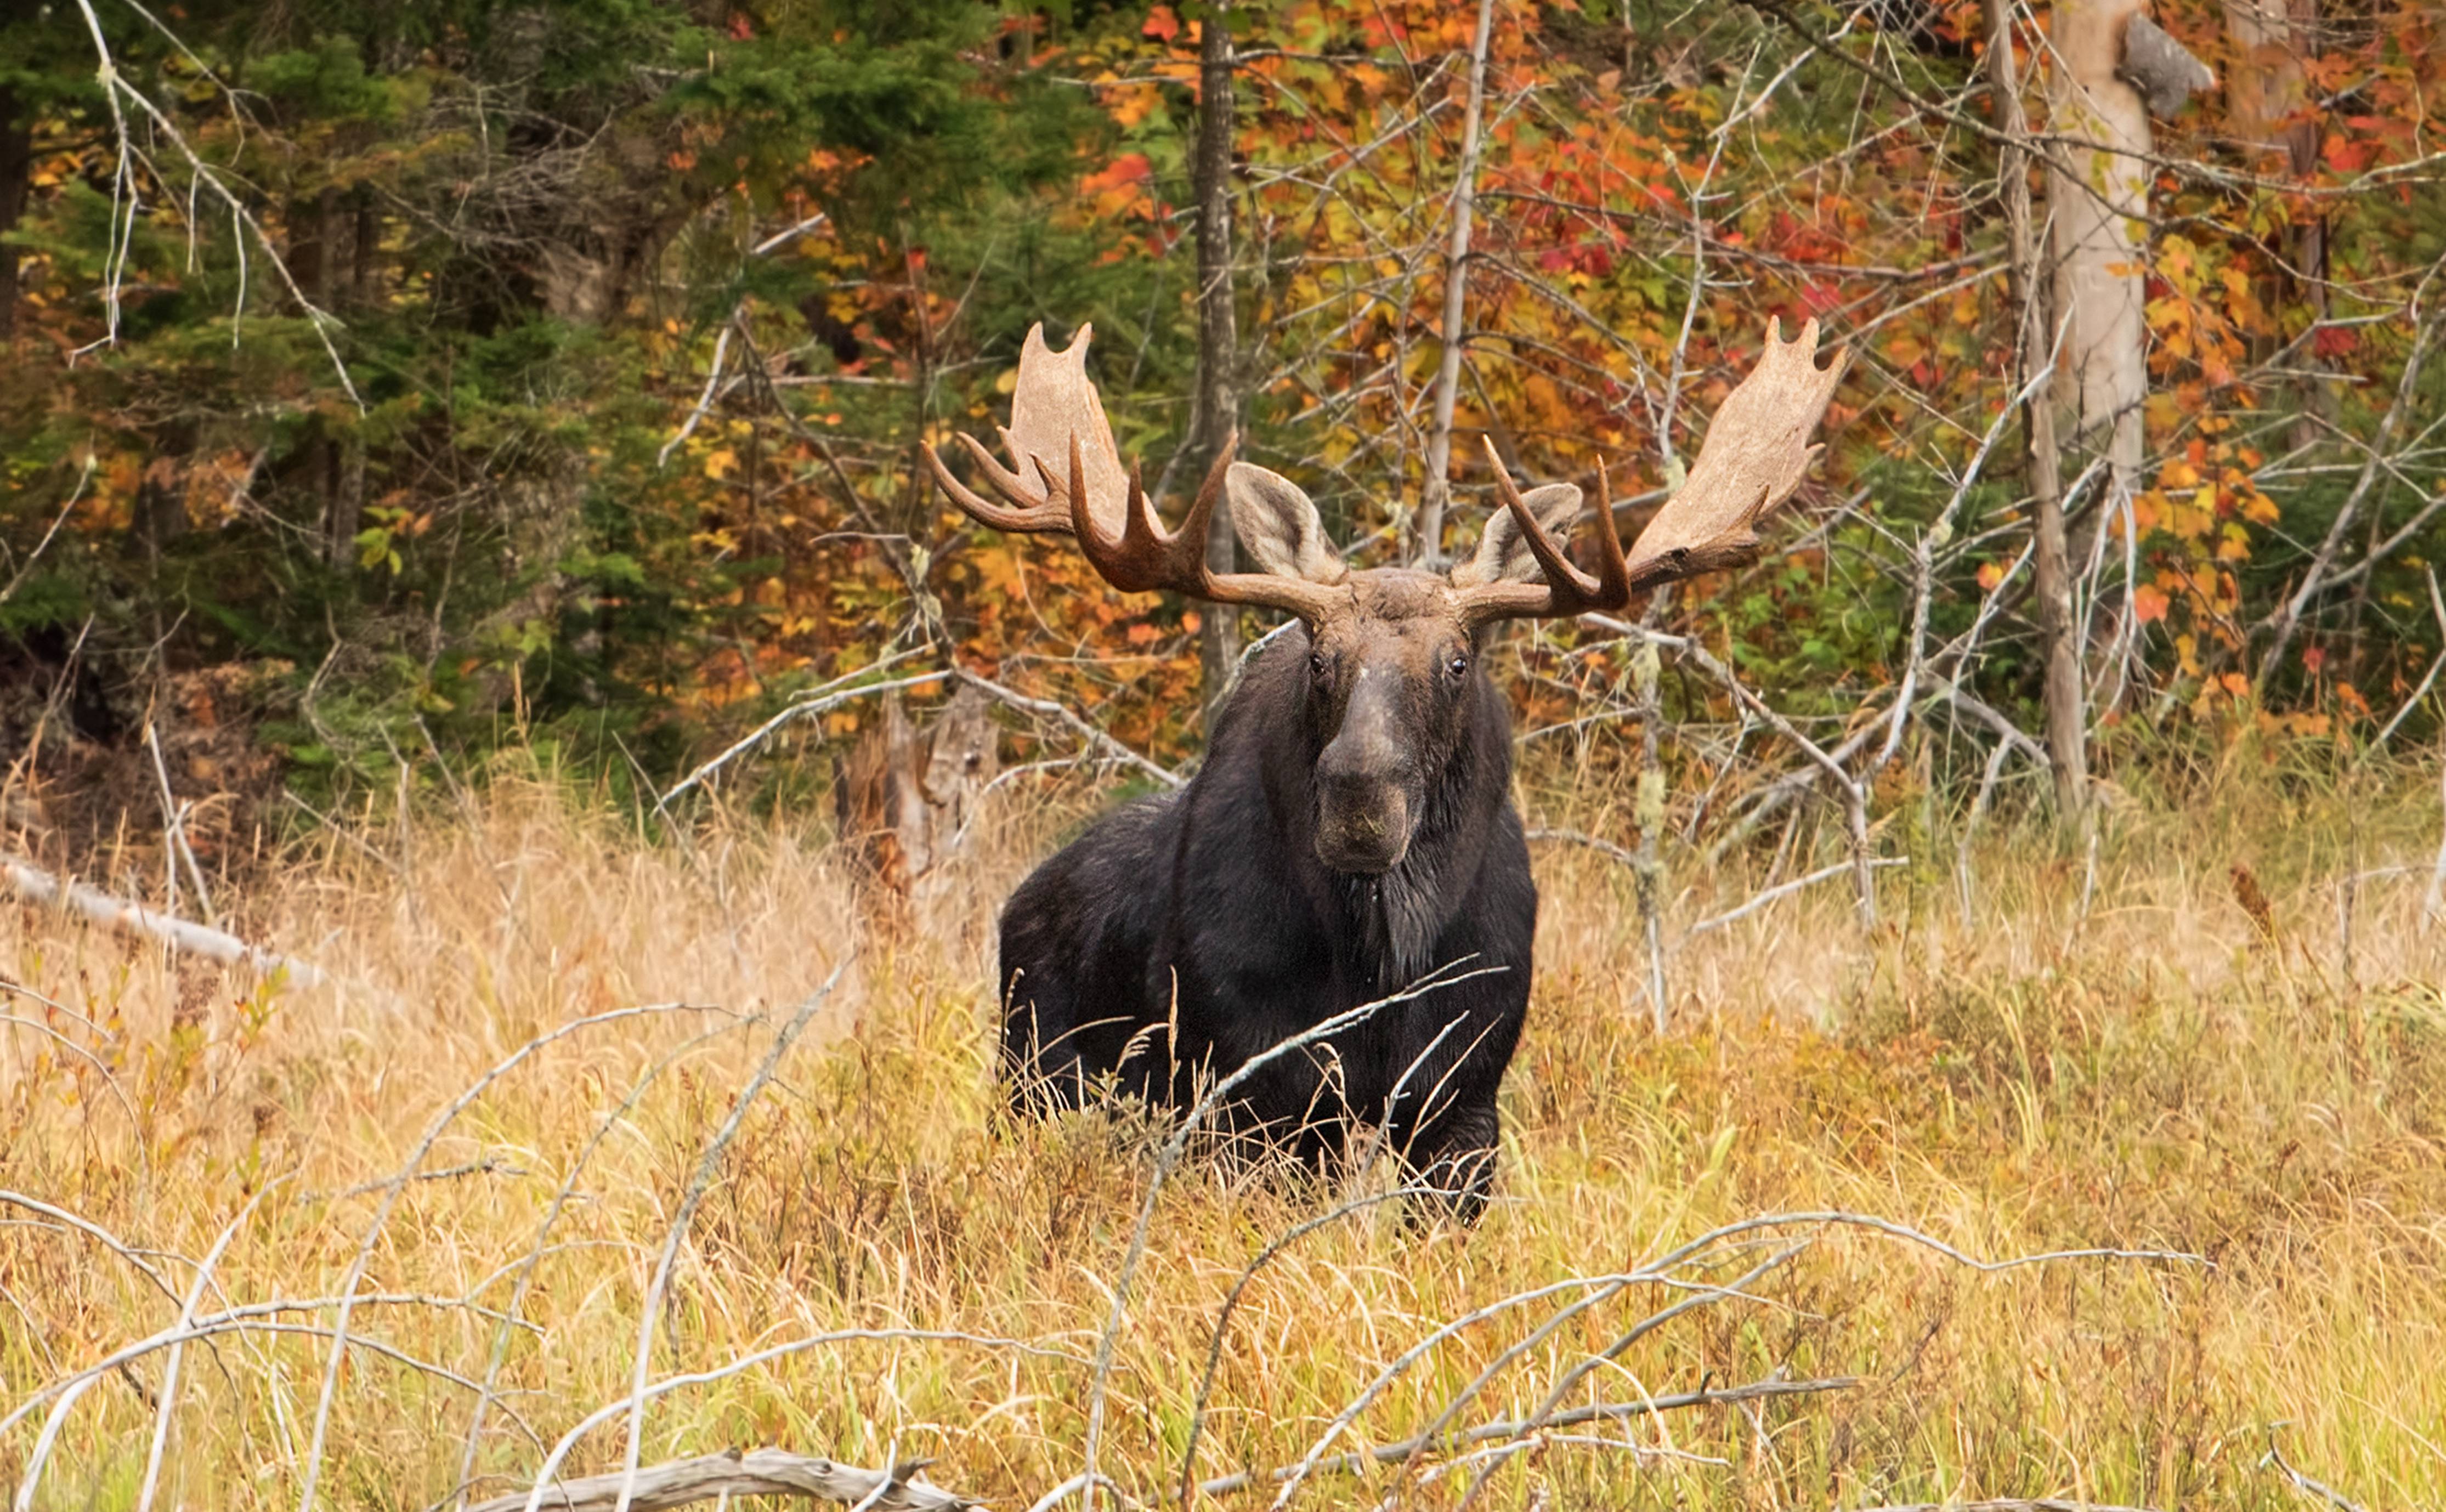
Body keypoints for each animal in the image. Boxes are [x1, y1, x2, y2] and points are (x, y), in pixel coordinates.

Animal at [924, 318, 1839, 1213]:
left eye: (1457, 662)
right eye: (1320, 658)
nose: (1362, 799)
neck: (1379, 956)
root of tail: (1020, 902)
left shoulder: (1463, 1097)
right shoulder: (1254, 1094)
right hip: (1033, 1075)